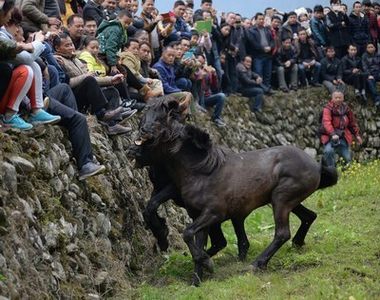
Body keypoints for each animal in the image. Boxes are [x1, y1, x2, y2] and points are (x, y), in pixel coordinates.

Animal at [128, 98, 338, 286]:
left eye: (158, 121)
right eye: (144, 115)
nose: (132, 150)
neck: (201, 171)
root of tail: (316, 165)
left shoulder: (214, 213)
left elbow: (188, 233)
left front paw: (207, 264)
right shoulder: (198, 215)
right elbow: (196, 239)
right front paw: (197, 279)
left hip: (281, 200)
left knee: (282, 233)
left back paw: (257, 263)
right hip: (286, 200)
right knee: (309, 216)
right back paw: (297, 243)